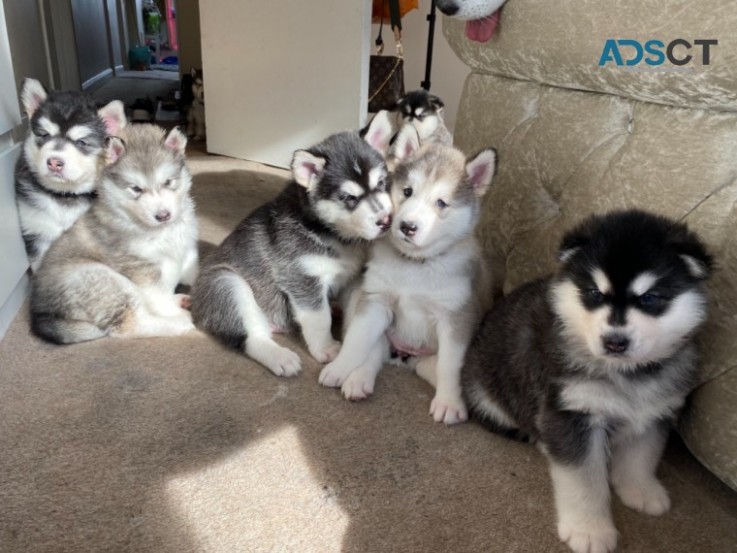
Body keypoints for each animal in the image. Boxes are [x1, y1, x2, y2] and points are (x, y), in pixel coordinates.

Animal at [30, 125, 198, 342]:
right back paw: (180, 322)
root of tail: (41, 316)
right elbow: (159, 297)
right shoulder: (140, 267)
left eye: (168, 182)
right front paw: (174, 312)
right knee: (130, 325)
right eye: (135, 189)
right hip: (107, 281)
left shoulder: (188, 248)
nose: (163, 216)